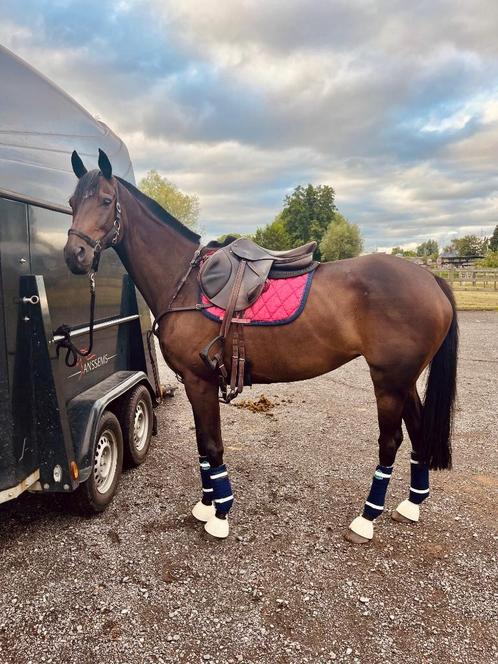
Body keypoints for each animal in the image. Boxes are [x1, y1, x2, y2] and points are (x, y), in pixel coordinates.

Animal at [63, 152, 460, 544]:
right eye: (71, 202)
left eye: (106, 200)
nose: (74, 254)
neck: (186, 282)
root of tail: (431, 278)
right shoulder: (195, 383)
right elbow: (203, 445)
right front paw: (206, 505)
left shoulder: (199, 380)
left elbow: (212, 445)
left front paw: (220, 514)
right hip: (405, 381)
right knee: (418, 430)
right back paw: (411, 504)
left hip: (389, 381)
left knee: (390, 441)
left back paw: (366, 519)